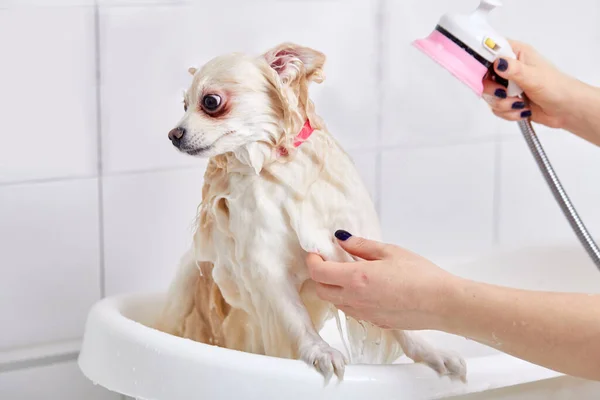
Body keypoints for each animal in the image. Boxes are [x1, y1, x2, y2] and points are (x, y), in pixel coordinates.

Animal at [157, 42, 466, 382]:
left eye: (210, 102)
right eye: (184, 104)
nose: (173, 134)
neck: (274, 164)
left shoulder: (345, 243)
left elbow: (395, 317)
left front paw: (431, 353)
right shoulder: (266, 265)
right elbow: (295, 316)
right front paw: (320, 351)